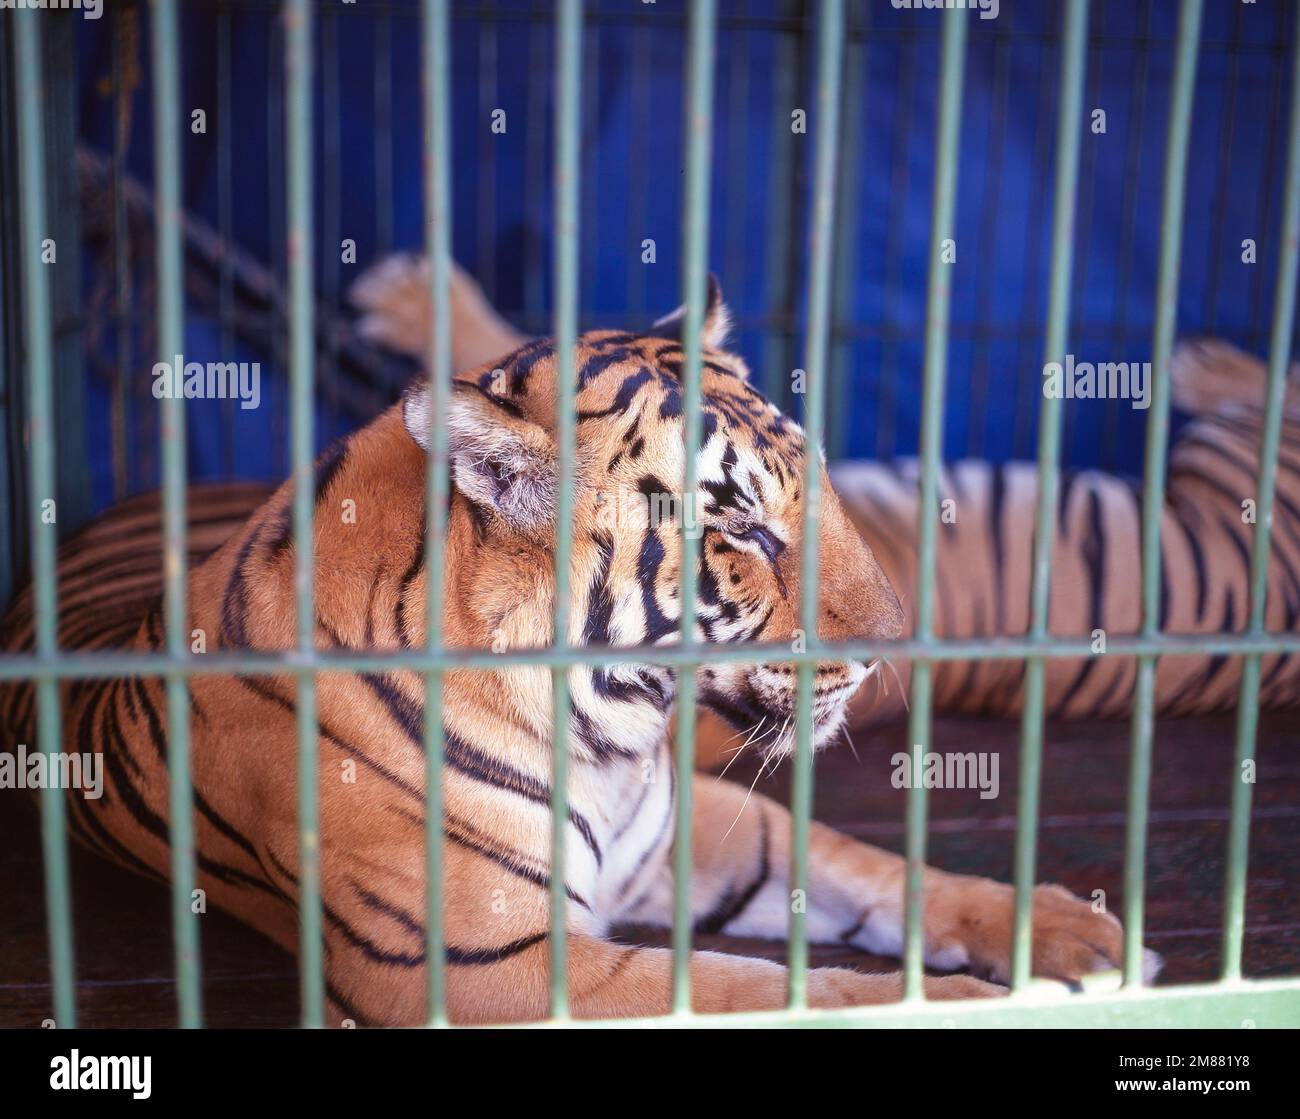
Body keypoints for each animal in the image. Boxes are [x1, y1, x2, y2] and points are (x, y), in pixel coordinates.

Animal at [0, 270, 1164, 1024]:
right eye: (743, 531)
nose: (891, 648)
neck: (614, 731)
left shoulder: (704, 829)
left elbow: (871, 867)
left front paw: (1080, 936)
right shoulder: (483, 966)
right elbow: (766, 992)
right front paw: (969, 1003)